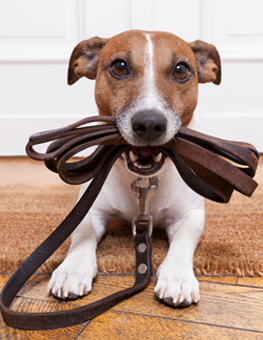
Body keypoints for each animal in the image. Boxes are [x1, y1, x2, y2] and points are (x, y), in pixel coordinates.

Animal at [47, 29, 221, 308]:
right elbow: (82, 234)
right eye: (119, 66)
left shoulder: (190, 216)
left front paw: (177, 277)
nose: (149, 123)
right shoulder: (90, 210)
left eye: (181, 70)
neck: (143, 181)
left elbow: (183, 242)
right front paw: (71, 269)